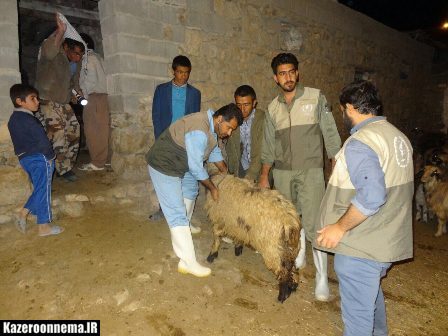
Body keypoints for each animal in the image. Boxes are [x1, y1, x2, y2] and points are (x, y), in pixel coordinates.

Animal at [206, 175, 300, 304]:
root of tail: (290, 223)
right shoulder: (238, 225)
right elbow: (238, 237)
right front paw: (238, 248)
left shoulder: (220, 219)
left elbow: (216, 237)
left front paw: (212, 255)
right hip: (290, 250)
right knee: (292, 268)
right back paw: (293, 286)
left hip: (272, 250)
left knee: (283, 273)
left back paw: (282, 295)